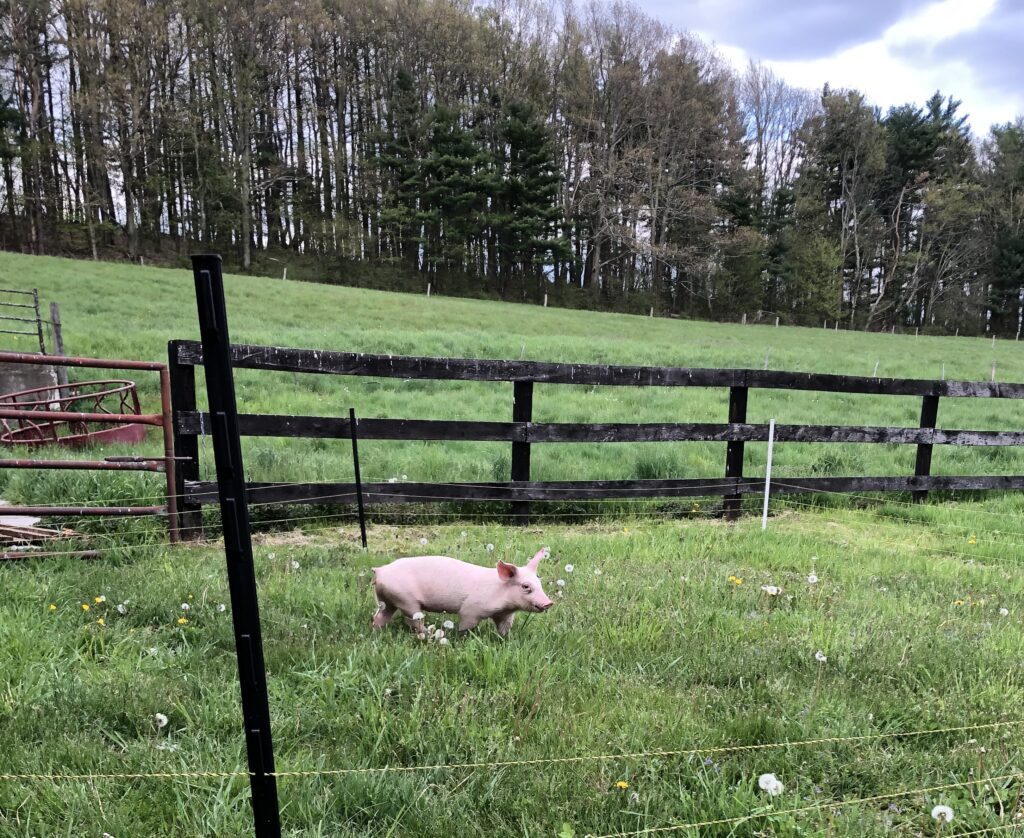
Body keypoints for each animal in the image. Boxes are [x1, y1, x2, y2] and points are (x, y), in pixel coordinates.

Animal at [371, 547, 554, 637]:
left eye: (539, 583)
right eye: (526, 586)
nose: (549, 602)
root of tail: (380, 570)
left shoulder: (505, 614)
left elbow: (504, 628)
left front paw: (506, 640)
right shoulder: (471, 609)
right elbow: (465, 625)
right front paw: (463, 638)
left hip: (388, 600)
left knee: (379, 617)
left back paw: (377, 633)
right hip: (407, 600)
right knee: (414, 621)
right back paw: (430, 634)